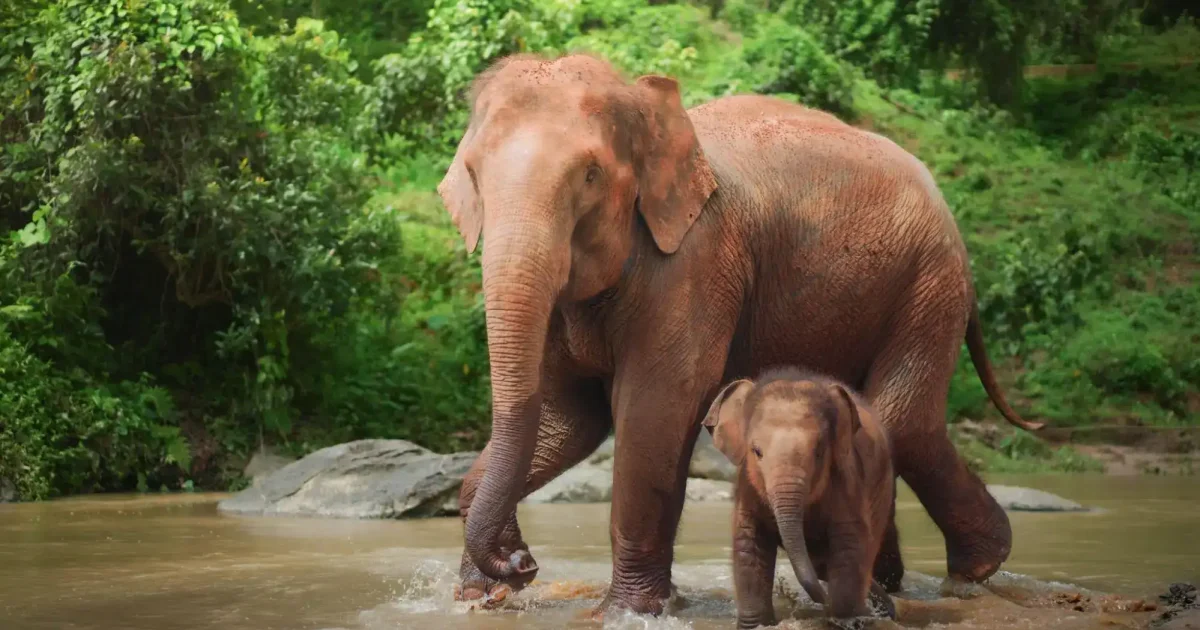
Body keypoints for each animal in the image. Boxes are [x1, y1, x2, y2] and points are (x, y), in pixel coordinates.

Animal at [702, 368, 897, 628]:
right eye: (756, 451)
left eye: (820, 451)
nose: (823, 602)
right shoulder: (747, 487)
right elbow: (749, 542)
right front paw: (757, 624)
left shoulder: (847, 479)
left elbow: (849, 542)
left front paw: (846, 617)